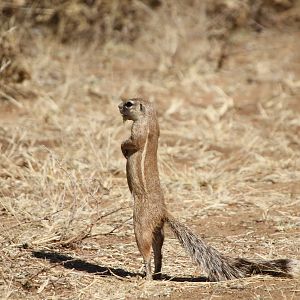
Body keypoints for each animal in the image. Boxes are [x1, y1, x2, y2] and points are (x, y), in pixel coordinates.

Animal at [118, 98, 298, 282]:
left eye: (129, 103)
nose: (119, 106)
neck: (150, 119)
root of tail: (163, 211)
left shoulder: (139, 130)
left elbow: (132, 142)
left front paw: (123, 148)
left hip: (141, 223)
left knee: (147, 250)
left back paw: (147, 276)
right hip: (157, 229)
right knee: (159, 251)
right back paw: (156, 274)